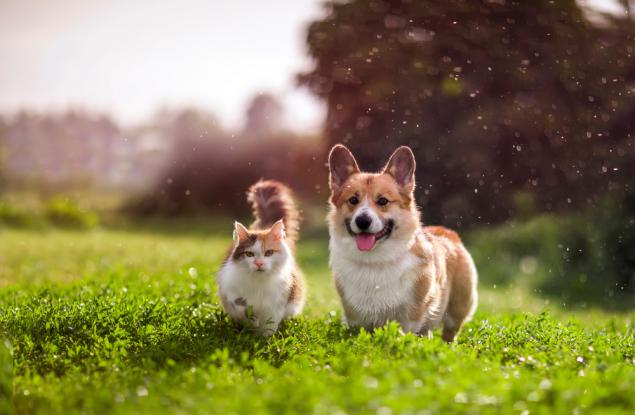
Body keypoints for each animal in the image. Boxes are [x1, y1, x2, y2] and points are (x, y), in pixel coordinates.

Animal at [216, 180, 306, 336]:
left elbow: (269, 325)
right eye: (249, 254)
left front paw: (264, 338)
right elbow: (241, 306)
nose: (258, 263)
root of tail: (263, 227)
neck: (259, 282)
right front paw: (251, 322)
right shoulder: (229, 289)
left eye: (269, 253)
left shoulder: (276, 303)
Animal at [328, 145, 476, 342]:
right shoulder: (355, 318)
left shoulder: (411, 316)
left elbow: (405, 333)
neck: (375, 260)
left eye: (382, 201)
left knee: (450, 333)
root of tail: (448, 232)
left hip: (457, 308)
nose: (362, 221)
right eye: (353, 200)